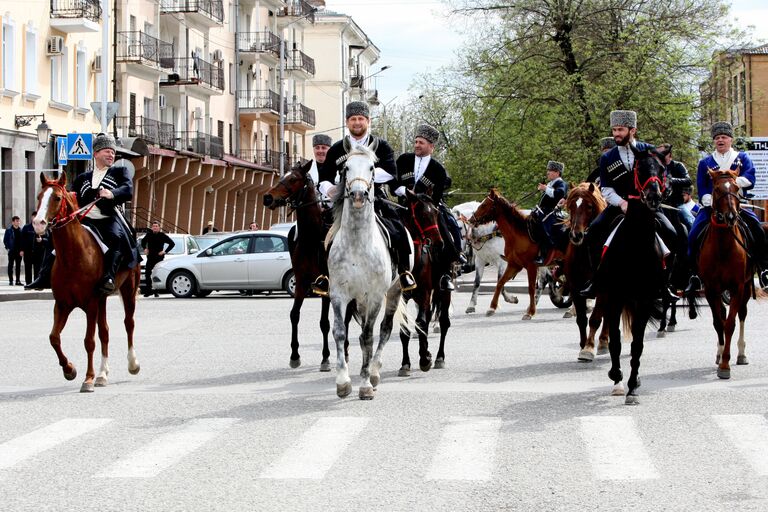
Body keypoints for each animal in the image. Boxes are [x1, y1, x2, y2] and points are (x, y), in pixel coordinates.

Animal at [32, 172, 141, 392]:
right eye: (39, 196)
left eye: (57, 198)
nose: (38, 223)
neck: (72, 256)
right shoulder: (62, 304)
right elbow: (54, 338)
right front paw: (69, 369)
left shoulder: (90, 304)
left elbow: (89, 341)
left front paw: (88, 379)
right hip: (103, 299)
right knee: (105, 332)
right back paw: (102, 374)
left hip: (128, 289)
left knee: (129, 323)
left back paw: (132, 364)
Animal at [328, 140, 404, 400]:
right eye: (346, 168)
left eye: (372, 167)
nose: (359, 195)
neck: (358, 243)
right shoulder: (339, 294)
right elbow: (340, 333)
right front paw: (342, 382)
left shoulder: (374, 297)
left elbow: (369, 337)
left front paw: (365, 384)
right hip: (358, 300)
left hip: (394, 291)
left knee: (384, 330)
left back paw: (374, 372)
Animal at [468, 188, 560, 318]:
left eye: (484, 205)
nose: (471, 220)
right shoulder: (482, 260)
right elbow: (480, 282)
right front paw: (473, 306)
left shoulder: (505, 262)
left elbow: (502, 282)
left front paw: (511, 300)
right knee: (546, 279)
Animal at [560, 182, 608, 362]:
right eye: (571, 206)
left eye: (589, 206)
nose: (576, 235)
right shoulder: (575, 287)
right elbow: (581, 319)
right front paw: (582, 345)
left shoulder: (602, 289)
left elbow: (595, 319)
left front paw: (589, 347)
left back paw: (603, 341)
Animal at [692, 170, 752, 378]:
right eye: (717, 189)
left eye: (736, 187)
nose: (731, 216)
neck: (724, 248)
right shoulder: (711, 289)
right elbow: (719, 322)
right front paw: (722, 358)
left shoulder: (737, 287)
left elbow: (730, 324)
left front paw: (726, 365)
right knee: (722, 315)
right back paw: (719, 352)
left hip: (746, 288)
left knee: (742, 314)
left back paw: (741, 354)